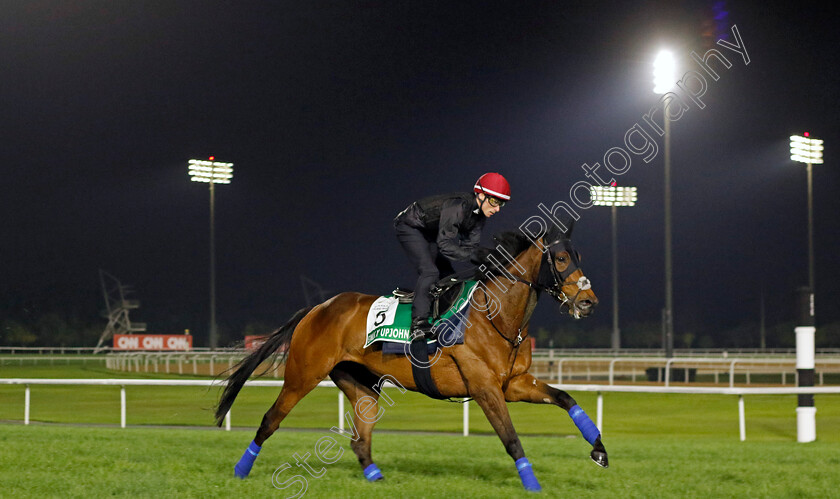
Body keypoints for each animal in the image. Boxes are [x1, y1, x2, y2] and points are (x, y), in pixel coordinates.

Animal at [215, 222, 612, 492]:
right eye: (561, 257)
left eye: (578, 256)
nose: (588, 302)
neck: (495, 317)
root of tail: (318, 307)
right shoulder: (485, 388)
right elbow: (510, 436)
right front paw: (532, 485)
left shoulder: (512, 383)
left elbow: (566, 398)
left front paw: (599, 450)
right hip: (303, 375)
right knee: (270, 420)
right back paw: (239, 471)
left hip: (362, 384)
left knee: (360, 438)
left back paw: (376, 477)